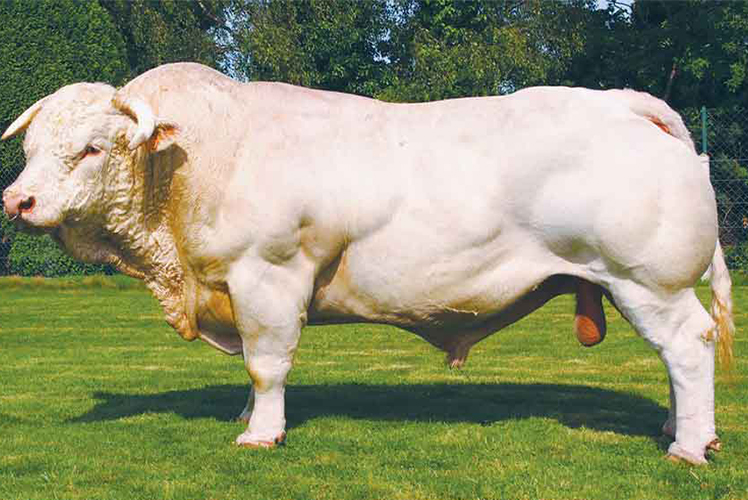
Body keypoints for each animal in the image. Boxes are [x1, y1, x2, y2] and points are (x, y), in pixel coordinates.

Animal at [2, 62, 734, 465]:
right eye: (31, 147)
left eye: (93, 148)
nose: (17, 200)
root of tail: (620, 102)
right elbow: (253, 369)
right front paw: (247, 417)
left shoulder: (267, 276)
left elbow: (267, 364)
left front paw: (261, 436)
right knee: (675, 360)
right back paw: (679, 428)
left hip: (649, 281)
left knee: (688, 349)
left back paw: (689, 447)